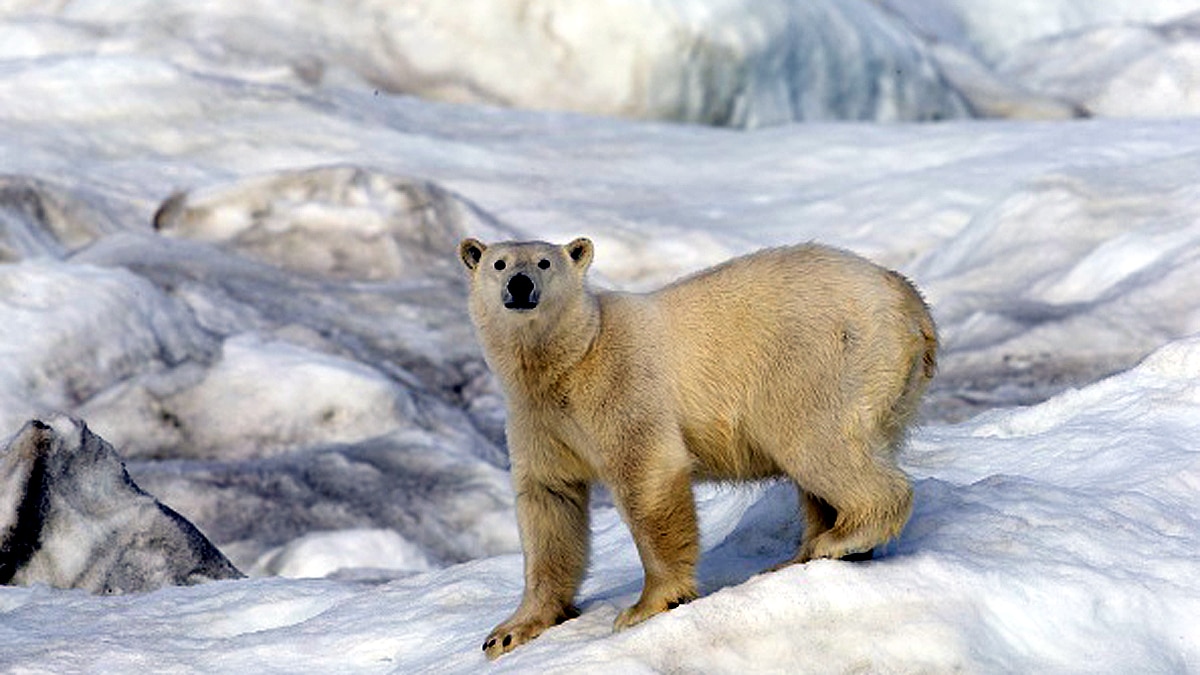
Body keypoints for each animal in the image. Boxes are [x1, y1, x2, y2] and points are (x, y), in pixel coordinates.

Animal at [458, 237, 937, 660]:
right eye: (499, 263)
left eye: (545, 262)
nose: (520, 285)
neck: (572, 357)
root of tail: (908, 299)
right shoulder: (537, 419)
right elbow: (549, 503)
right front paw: (507, 633)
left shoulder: (621, 385)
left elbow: (648, 474)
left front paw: (646, 606)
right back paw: (802, 555)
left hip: (820, 359)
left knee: (818, 444)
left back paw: (839, 539)